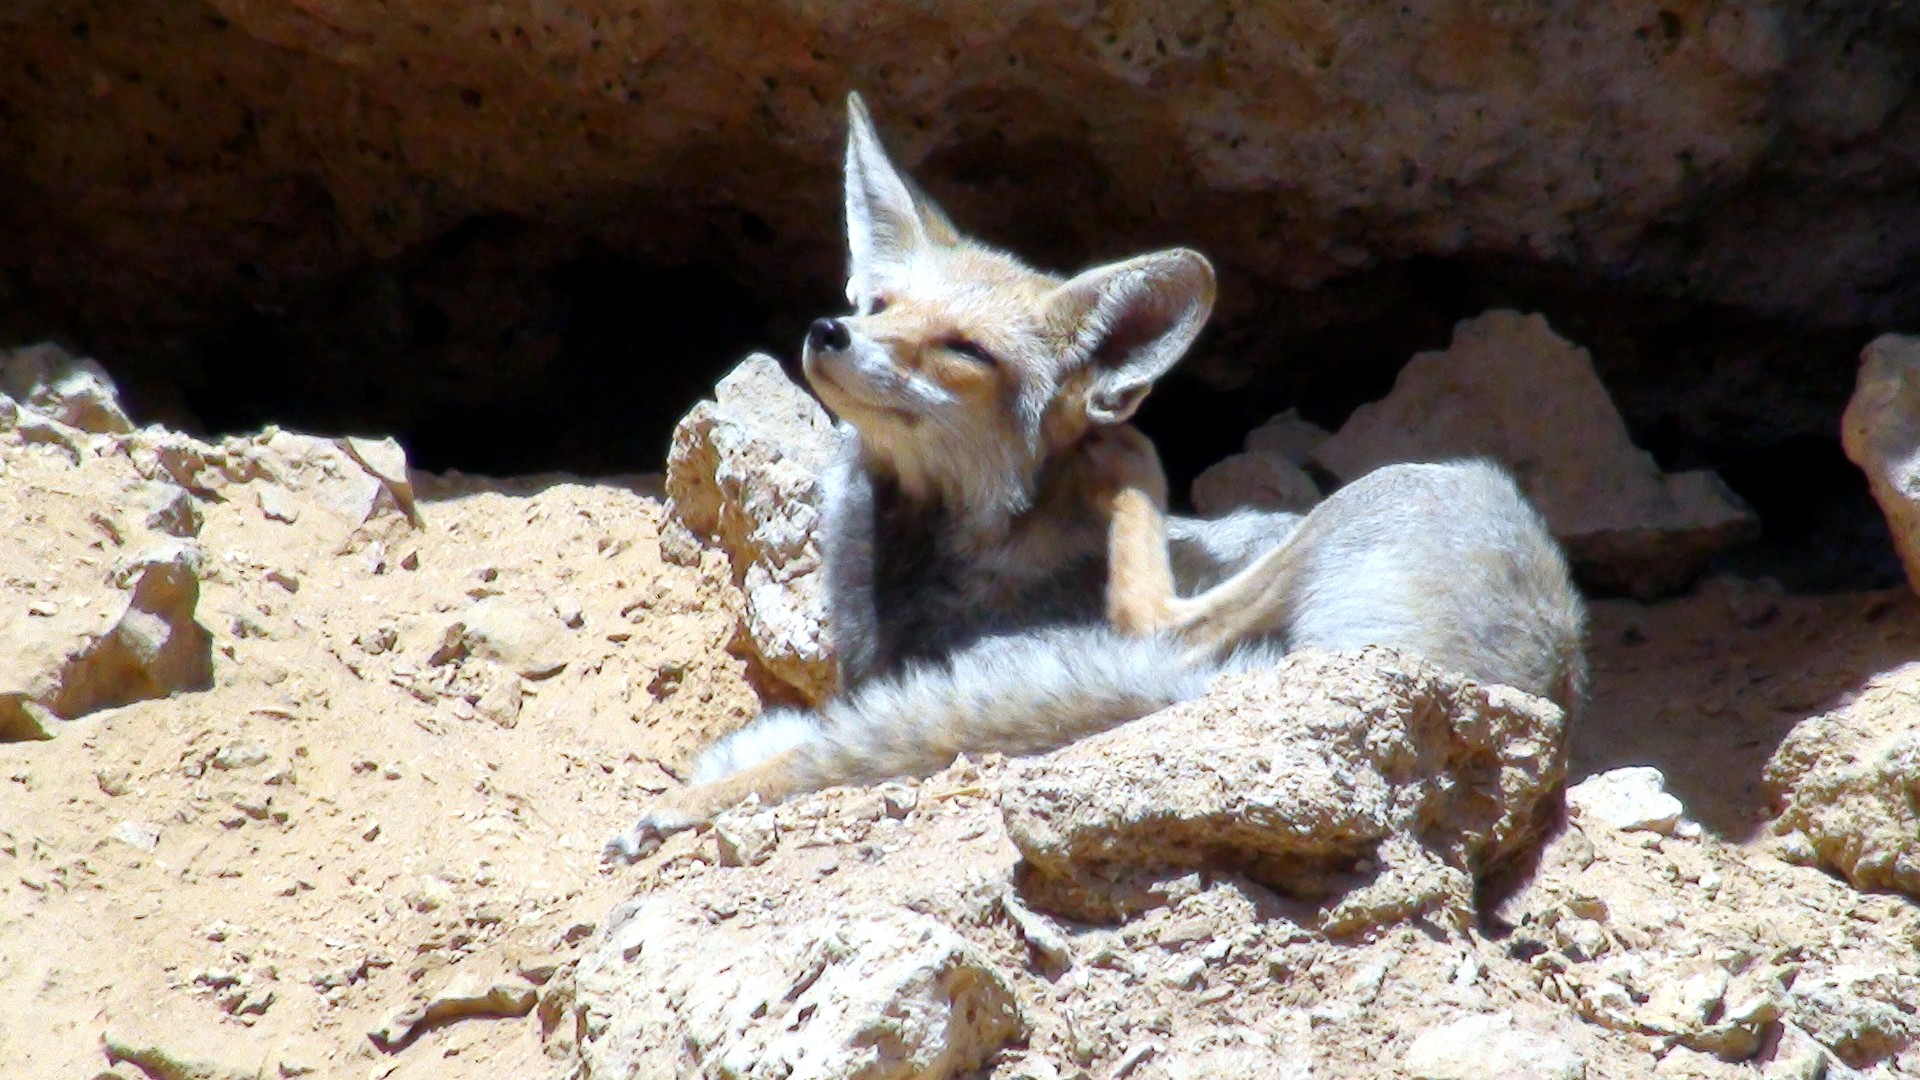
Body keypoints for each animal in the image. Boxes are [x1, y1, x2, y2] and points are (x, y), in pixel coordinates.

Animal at [606, 96, 1582, 860]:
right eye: (879, 306)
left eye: (964, 350)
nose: (829, 332)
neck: (931, 560)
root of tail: (1542, 686)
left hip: (1400, 490)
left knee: (1163, 618)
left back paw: (1128, 462)